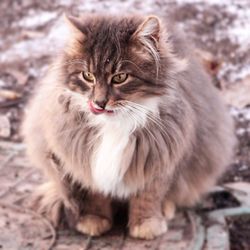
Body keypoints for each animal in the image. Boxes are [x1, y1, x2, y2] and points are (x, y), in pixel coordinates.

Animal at [22, 14, 235, 240]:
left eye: (120, 77)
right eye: (87, 76)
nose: (99, 103)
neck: (114, 123)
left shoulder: (159, 158)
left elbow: (149, 197)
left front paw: (146, 226)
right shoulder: (84, 159)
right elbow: (94, 194)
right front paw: (95, 221)